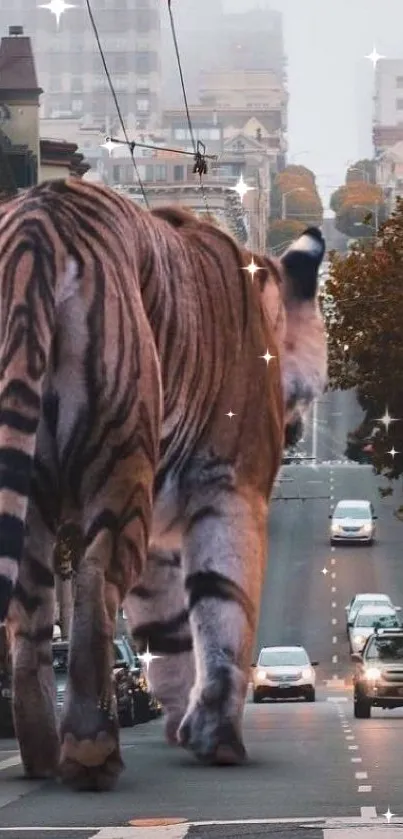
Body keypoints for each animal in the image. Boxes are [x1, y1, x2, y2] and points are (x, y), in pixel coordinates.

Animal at [0, 177, 326, 788]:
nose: (297, 430)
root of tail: (39, 222)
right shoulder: (230, 487)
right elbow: (223, 606)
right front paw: (216, 738)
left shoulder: (162, 527)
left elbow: (169, 627)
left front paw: (183, 726)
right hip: (121, 459)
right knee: (94, 581)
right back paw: (90, 751)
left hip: (33, 488)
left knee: (30, 612)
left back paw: (41, 758)